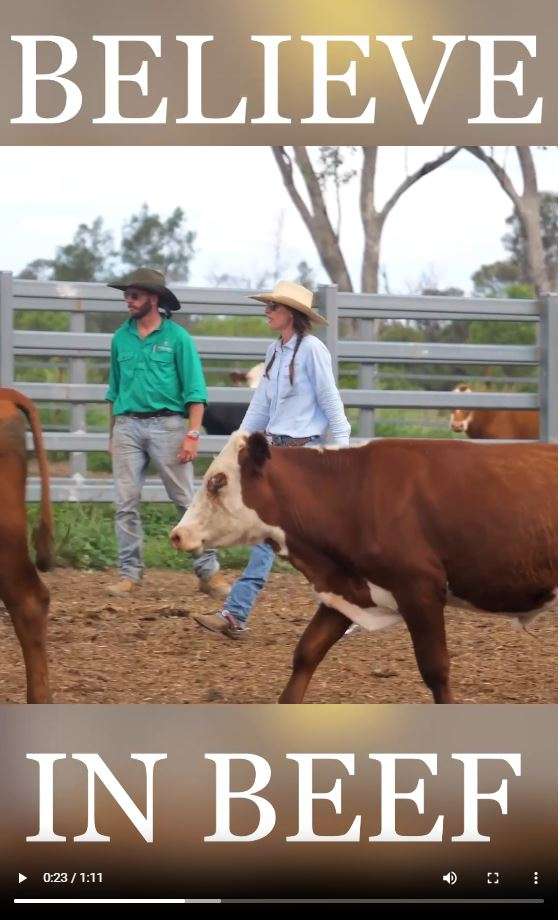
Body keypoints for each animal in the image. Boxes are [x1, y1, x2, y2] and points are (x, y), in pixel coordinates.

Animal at [171, 432, 556, 704]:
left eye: (218, 481)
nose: (178, 534)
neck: (354, 494)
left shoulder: (420, 591)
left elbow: (436, 671)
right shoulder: (347, 590)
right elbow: (306, 653)